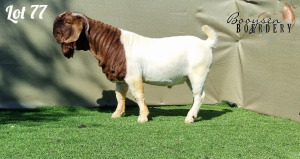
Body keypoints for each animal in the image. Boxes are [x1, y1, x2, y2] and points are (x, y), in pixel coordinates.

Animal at [52, 11, 217, 123]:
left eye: (68, 21)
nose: (54, 34)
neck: (114, 46)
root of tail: (205, 43)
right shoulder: (120, 78)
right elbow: (119, 96)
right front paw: (117, 114)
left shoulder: (133, 76)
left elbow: (138, 95)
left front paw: (143, 117)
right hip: (189, 77)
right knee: (198, 95)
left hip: (198, 74)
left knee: (199, 95)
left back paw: (189, 118)